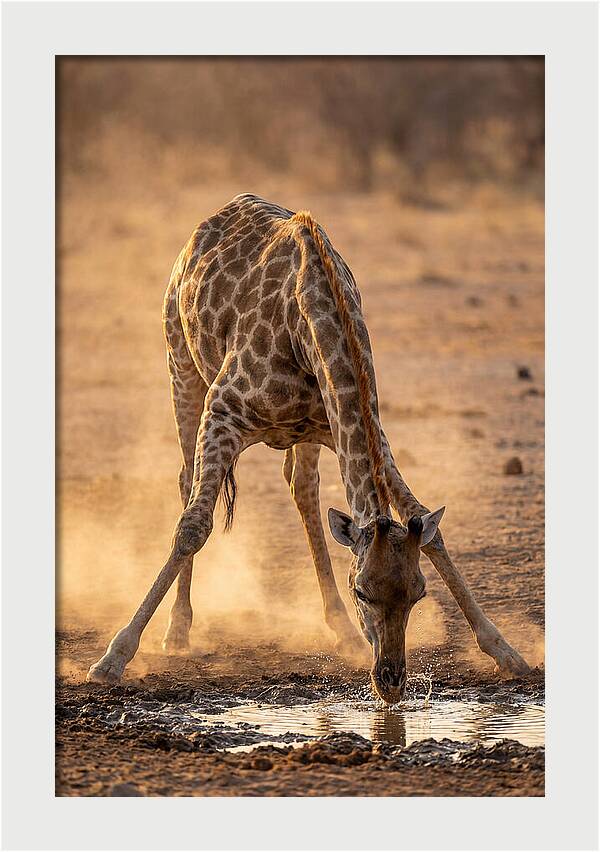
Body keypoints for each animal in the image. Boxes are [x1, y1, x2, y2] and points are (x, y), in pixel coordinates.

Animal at [87, 193, 530, 699]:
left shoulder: (359, 428)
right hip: (180, 366)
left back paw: (341, 631)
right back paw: (178, 631)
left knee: (302, 488)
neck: (312, 323)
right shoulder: (222, 413)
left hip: (305, 433)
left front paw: (506, 651)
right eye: (362, 590)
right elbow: (193, 527)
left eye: (418, 592)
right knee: (186, 484)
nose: (391, 681)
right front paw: (114, 657)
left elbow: (429, 530)